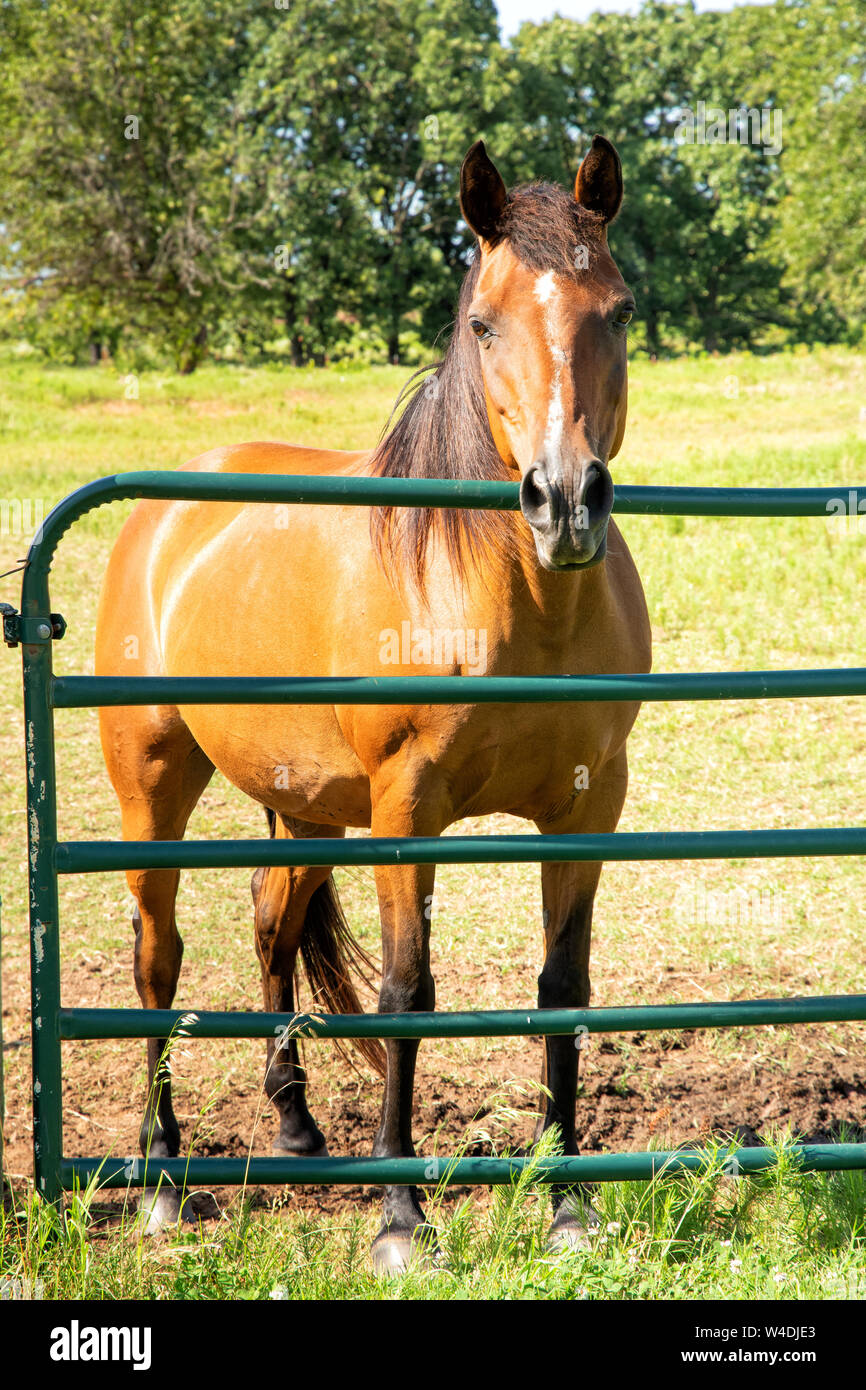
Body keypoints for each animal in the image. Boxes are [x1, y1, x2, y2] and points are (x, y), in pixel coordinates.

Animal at [95, 135, 651, 1271]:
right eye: (483, 325)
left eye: (616, 312)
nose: (565, 501)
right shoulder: (408, 808)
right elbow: (406, 996)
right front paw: (401, 1220)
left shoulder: (587, 806)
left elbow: (563, 989)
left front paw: (569, 1205)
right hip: (154, 792)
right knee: (157, 962)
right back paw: (164, 1180)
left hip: (303, 808)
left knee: (269, 925)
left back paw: (296, 1124)